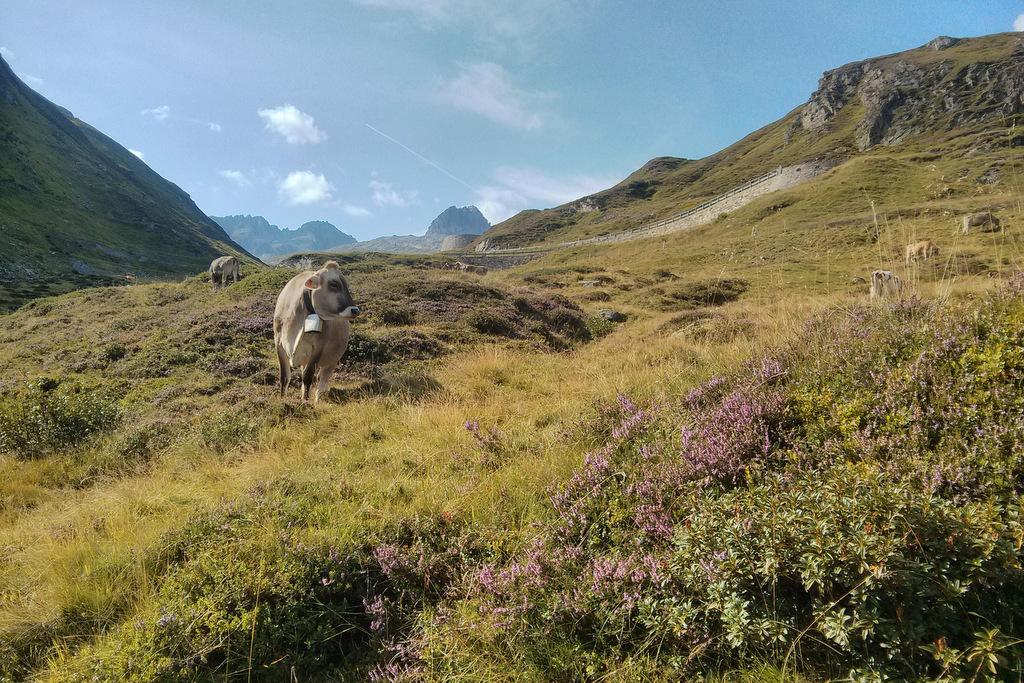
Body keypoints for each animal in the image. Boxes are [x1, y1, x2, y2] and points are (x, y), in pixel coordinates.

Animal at [272, 259, 360, 403]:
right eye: (334, 284)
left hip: (333, 360)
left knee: (322, 379)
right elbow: (284, 378)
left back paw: (318, 400)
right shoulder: (279, 343)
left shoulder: (318, 348)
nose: (355, 310)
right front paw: (282, 399)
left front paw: (305, 402)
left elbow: (308, 377)